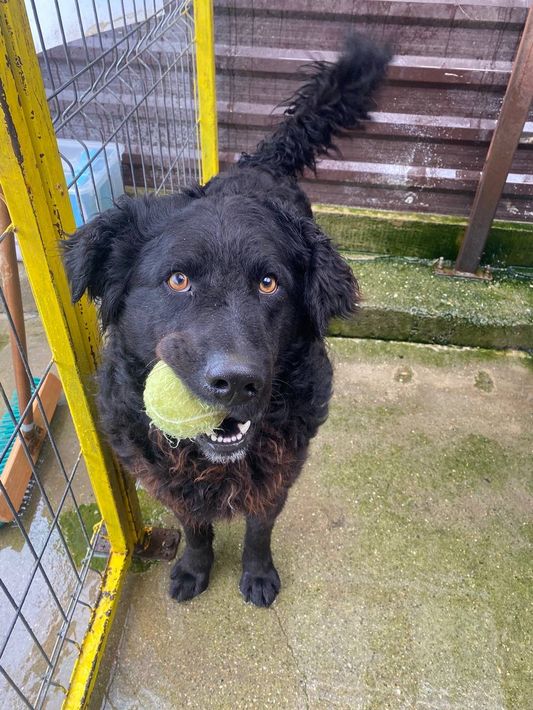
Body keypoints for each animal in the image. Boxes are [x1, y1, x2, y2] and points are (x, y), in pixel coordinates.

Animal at [63, 35, 390, 607]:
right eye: (177, 280)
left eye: (269, 283)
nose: (236, 381)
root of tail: (258, 163)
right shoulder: (166, 478)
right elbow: (194, 526)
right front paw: (194, 568)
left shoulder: (279, 472)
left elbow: (259, 527)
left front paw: (257, 574)